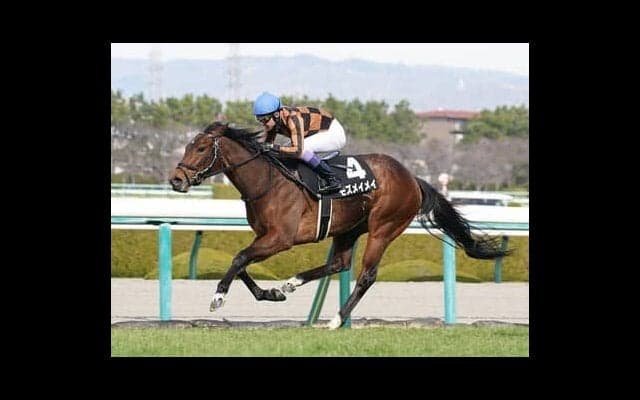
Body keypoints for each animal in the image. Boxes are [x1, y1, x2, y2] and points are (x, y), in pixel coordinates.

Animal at [169, 121, 510, 329]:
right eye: (186, 147)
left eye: (201, 149)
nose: (176, 180)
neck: (268, 181)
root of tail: (412, 178)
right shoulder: (264, 237)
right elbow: (241, 264)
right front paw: (271, 293)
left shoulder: (280, 238)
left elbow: (239, 258)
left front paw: (218, 298)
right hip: (348, 229)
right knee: (340, 264)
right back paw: (292, 283)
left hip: (384, 227)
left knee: (366, 275)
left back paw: (335, 319)